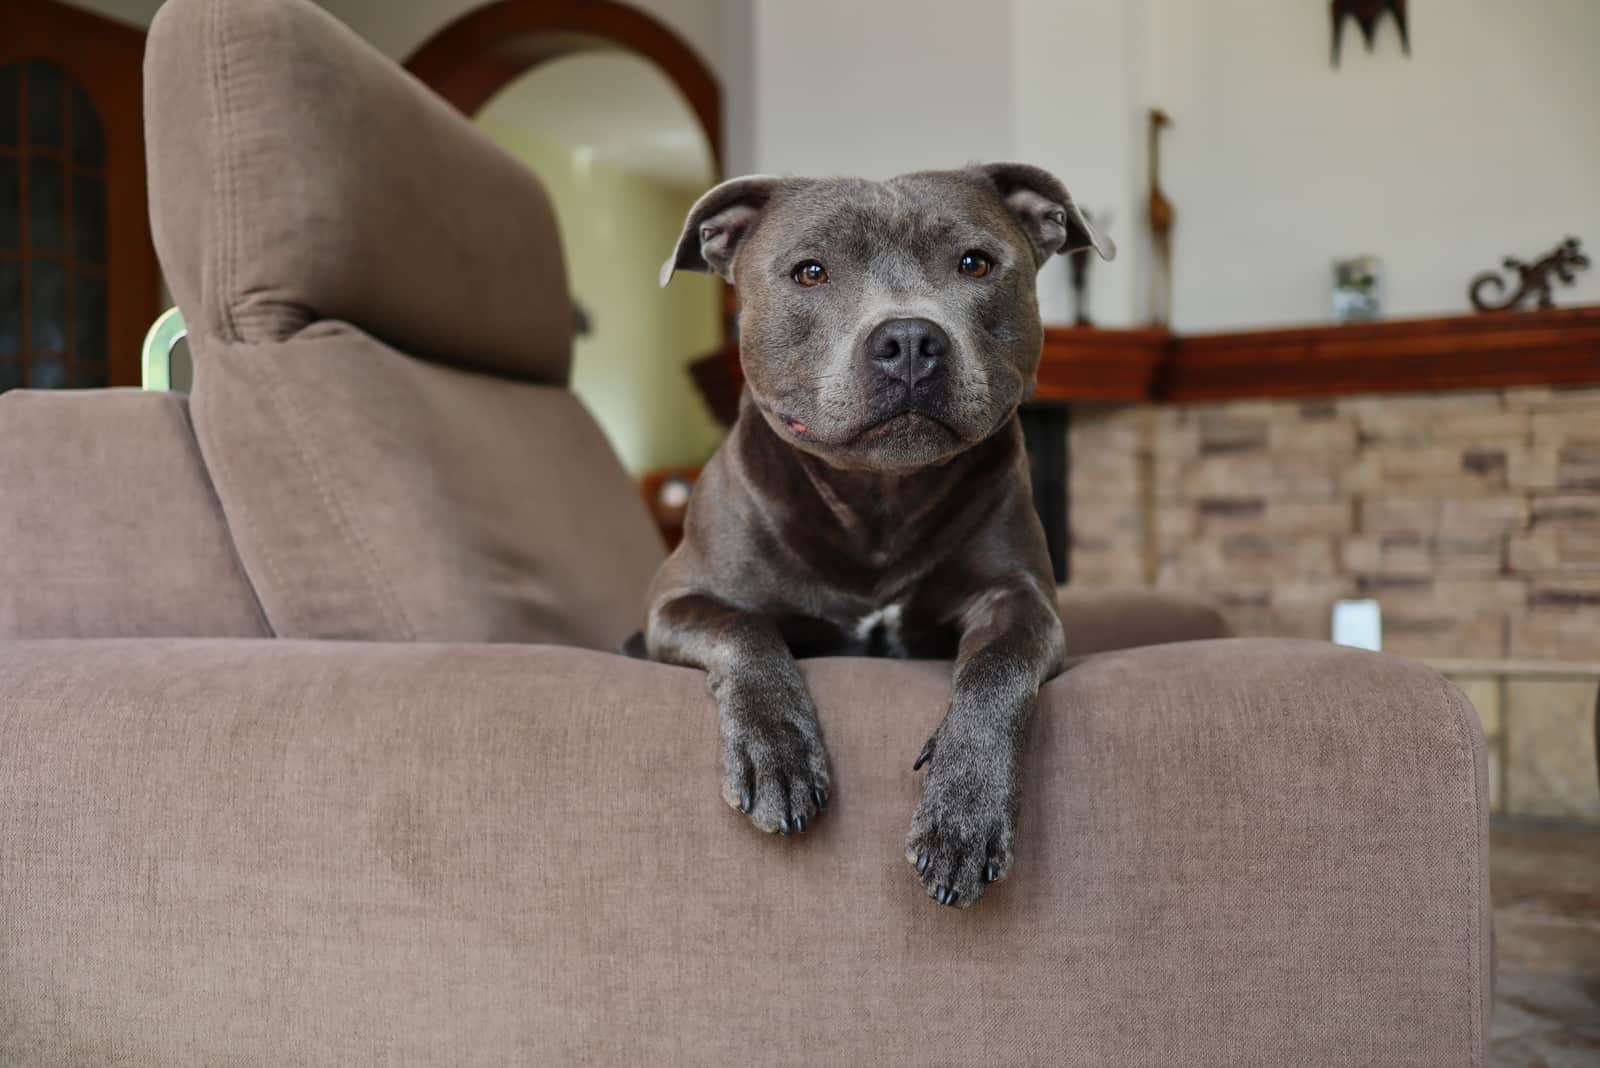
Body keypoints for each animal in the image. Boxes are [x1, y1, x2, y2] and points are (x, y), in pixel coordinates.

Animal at [646, 163, 1113, 908]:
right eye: (810, 272)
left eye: (975, 263)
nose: (911, 340)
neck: (879, 500)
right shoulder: (677, 601)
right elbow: (743, 629)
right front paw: (776, 749)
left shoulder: (1022, 600)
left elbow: (998, 666)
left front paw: (964, 808)